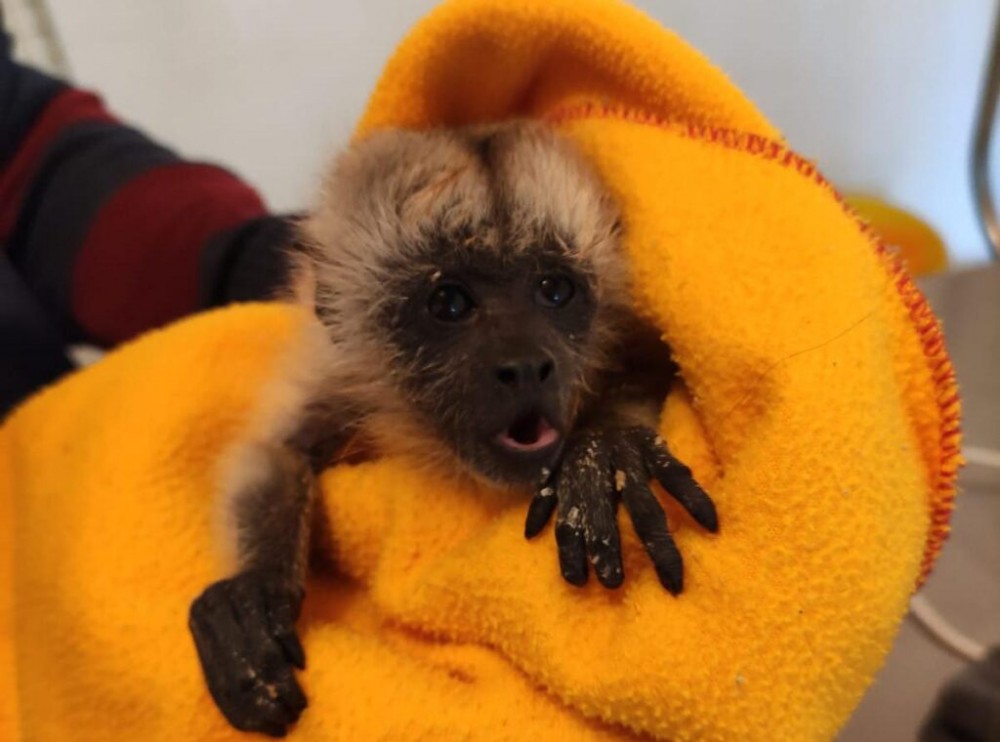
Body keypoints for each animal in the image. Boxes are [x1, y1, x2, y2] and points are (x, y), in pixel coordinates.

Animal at [188, 120, 718, 737]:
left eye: (554, 290)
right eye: (448, 303)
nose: (524, 365)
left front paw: (605, 446)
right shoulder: (336, 377)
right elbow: (275, 450)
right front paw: (250, 591)